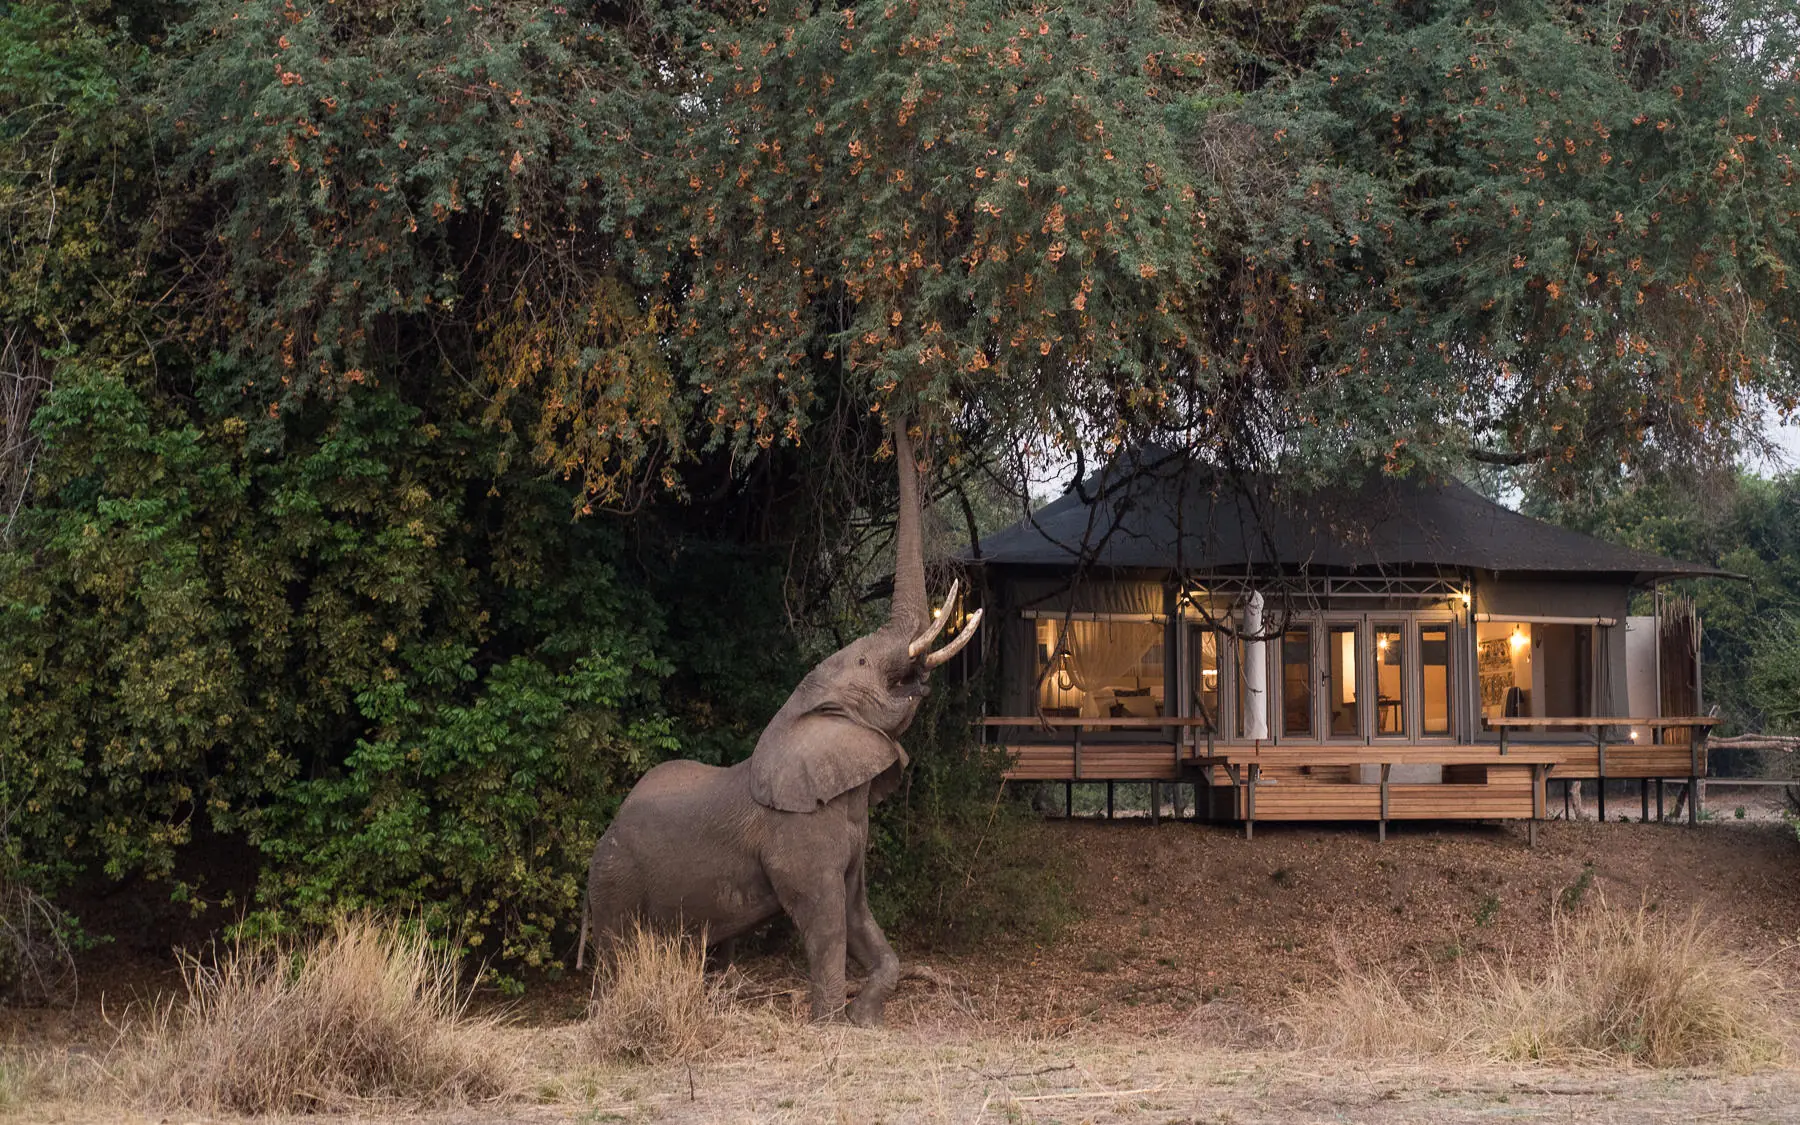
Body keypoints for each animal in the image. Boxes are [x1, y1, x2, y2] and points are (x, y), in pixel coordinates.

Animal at [583, 419, 981, 1027]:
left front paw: (866, 1017)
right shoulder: (798, 834)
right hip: (614, 878)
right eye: (861, 663)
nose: (894, 417)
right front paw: (829, 1024)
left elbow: (857, 912)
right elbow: (824, 918)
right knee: (616, 955)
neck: (802, 712)